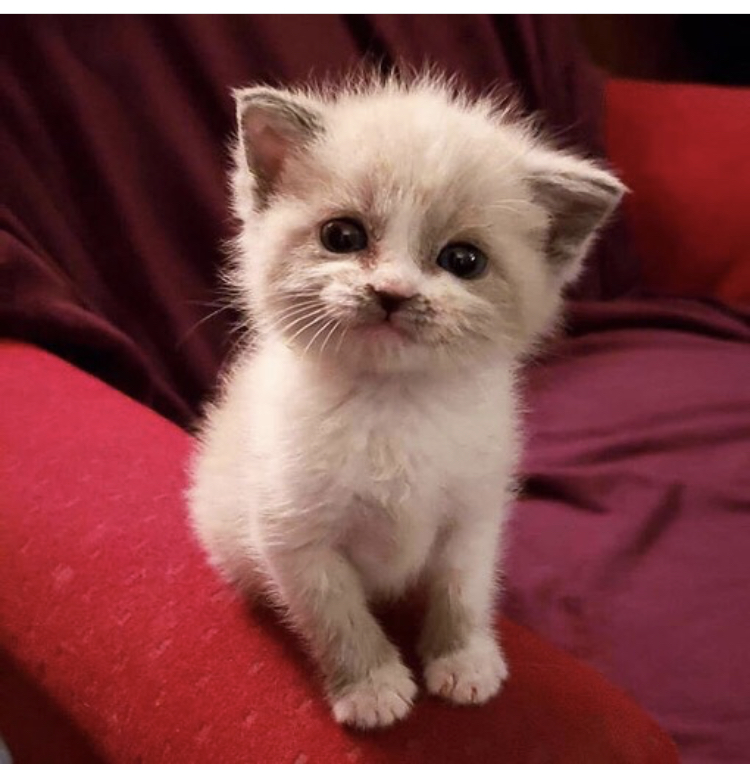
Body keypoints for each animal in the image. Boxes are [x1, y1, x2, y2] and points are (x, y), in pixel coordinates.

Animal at [187, 72, 624, 729]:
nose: (391, 292)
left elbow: (461, 588)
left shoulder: (474, 511)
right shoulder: (294, 533)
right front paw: (371, 687)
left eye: (463, 260)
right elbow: (336, 613)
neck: (394, 403)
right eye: (342, 236)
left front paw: (463, 661)